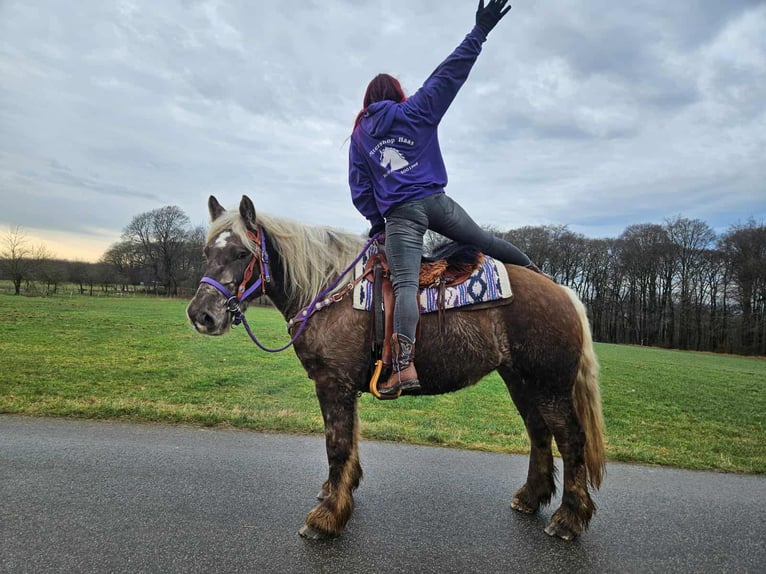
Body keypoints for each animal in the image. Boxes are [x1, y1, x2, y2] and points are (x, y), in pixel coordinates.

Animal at [186, 195, 606, 541]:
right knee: (539, 433)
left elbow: (337, 444)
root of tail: (562, 290)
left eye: (241, 254)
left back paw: (569, 519)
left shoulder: (332, 383)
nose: (201, 315)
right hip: (521, 381)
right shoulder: (344, 386)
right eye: (207, 251)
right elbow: (350, 441)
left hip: (549, 385)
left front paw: (326, 518)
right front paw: (340, 493)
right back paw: (532, 497)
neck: (329, 289)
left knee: (571, 439)